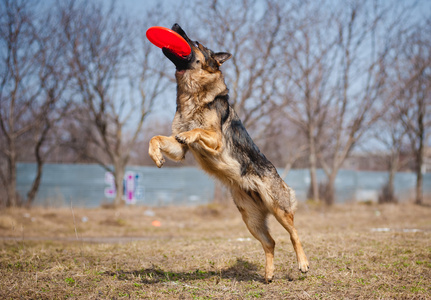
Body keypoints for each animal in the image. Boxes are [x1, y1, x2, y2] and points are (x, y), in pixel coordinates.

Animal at [150, 24, 308, 284]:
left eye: (196, 42)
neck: (192, 93)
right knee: (271, 242)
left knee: (294, 234)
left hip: (279, 210)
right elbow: (155, 138)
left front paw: (190, 134)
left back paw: (303, 264)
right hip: (250, 219)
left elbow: (197, 130)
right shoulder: (179, 149)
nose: (175, 25)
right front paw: (156, 156)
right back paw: (268, 274)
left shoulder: (215, 140)